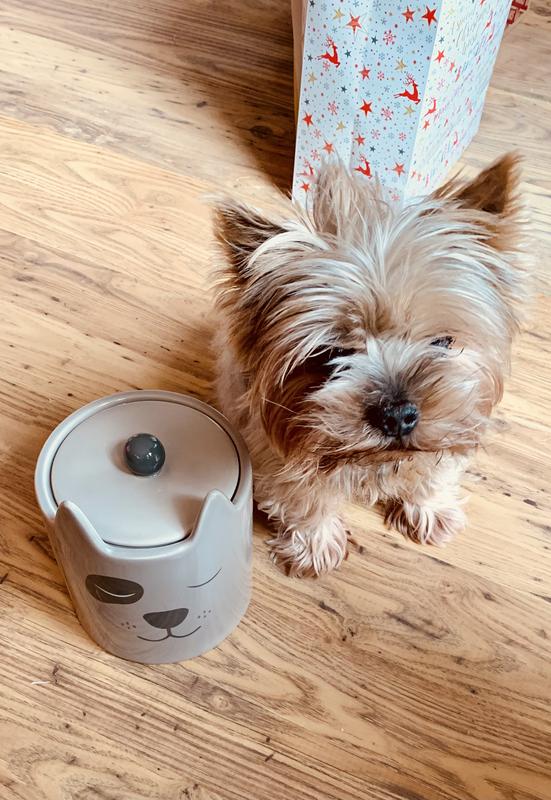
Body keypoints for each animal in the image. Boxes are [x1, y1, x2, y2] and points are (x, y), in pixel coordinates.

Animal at [211, 156, 528, 580]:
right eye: (331, 354)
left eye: (443, 342)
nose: (397, 415)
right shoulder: (278, 452)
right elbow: (305, 497)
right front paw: (314, 547)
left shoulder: (458, 420)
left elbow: (436, 468)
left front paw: (430, 509)